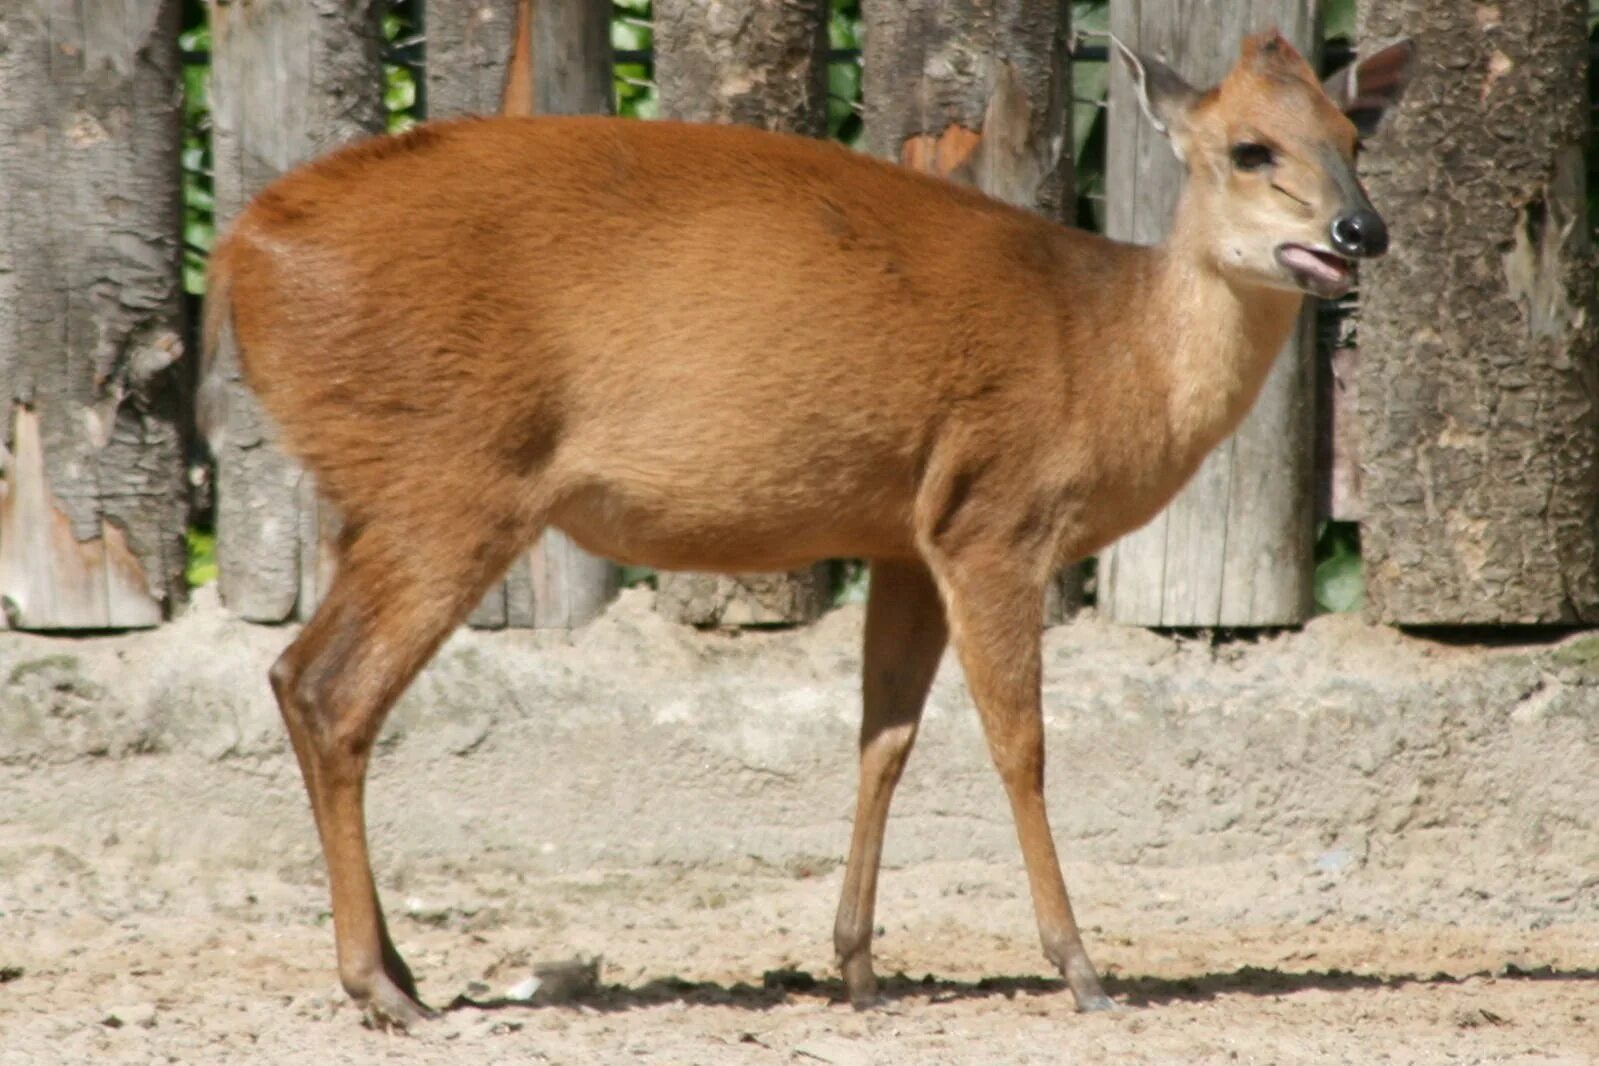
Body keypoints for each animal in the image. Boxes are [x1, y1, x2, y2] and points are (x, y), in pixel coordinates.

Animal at [199, 8, 1413, 1022]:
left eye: (1352, 134)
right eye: (1250, 149)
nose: (1361, 230)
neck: (1107, 353)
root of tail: (239, 256)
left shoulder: (906, 537)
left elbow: (884, 736)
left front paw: (858, 967)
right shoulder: (996, 515)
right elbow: (1019, 743)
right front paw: (1082, 971)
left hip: (372, 494)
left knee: (296, 676)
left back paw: (400, 973)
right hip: (450, 482)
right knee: (331, 690)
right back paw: (381, 989)